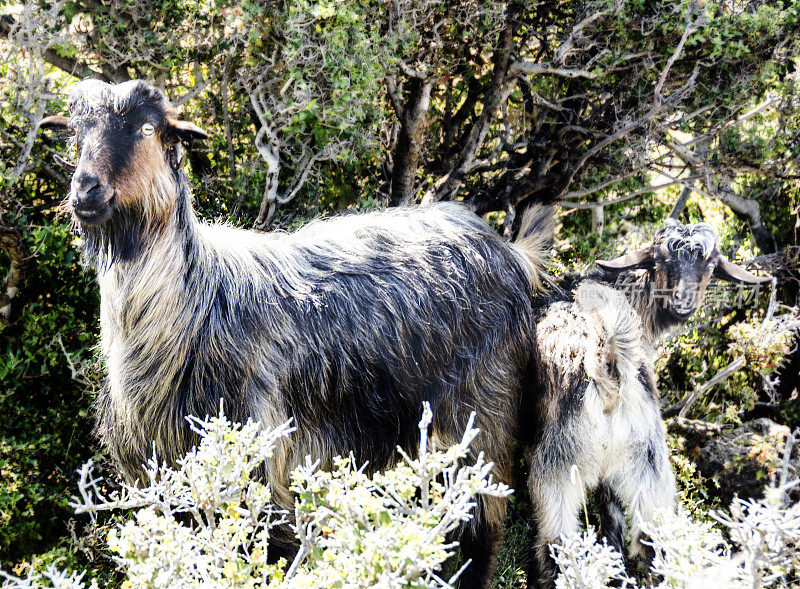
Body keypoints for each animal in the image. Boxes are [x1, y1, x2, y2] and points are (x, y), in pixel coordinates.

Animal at [40, 79, 552, 588]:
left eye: (148, 128)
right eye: (76, 134)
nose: (85, 189)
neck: (196, 309)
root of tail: (509, 251)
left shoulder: (268, 469)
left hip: (482, 422)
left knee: (479, 531)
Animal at [520, 219, 772, 584]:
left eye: (710, 265)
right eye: (662, 261)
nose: (683, 303)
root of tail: (608, 364)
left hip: (559, 464)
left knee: (558, 544)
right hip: (647, 461)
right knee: (651, 542)